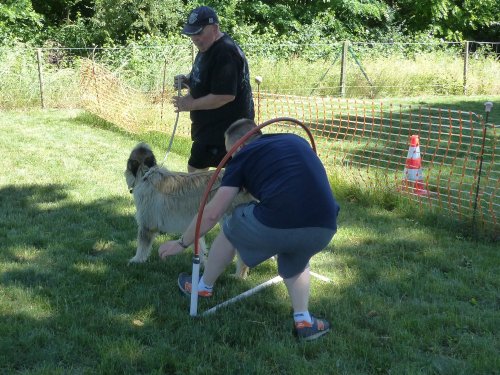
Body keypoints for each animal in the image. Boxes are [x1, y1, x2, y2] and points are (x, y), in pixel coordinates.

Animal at [125, 142, 250, 278]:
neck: (147, 174)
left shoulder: (147, 225)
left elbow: (142, 246)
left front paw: (137, 260)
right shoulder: (195, 225)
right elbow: (199, 247)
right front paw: (202, 265)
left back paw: (239, 276)